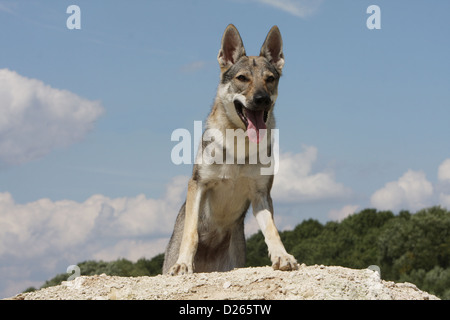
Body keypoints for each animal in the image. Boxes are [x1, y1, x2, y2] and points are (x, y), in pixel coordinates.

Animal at [163, 24, 298, 276]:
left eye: (270, 79)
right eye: (242, 78)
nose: (262, 99)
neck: (239, 145)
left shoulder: (261, 194)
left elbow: (272, 230)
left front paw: (282, 257)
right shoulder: (199, 183)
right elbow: (191, 233)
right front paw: (184, 263)